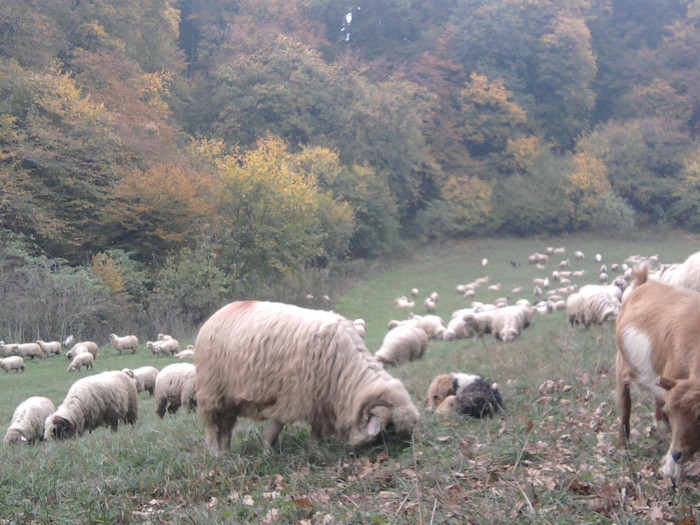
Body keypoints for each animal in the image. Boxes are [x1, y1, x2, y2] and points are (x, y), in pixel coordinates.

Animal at [194, 300, 418, 452]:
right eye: (391, 427)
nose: (406, 451)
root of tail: (219, 312)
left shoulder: (319, 398)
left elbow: (316, 429)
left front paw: (315, 449)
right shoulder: (293, 395)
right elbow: (278, 424)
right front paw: (267, 448)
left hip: (228, 398)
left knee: (226, 426)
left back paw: (226, 450)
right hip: (213, 391)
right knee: (213, 426)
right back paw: (216, 453)